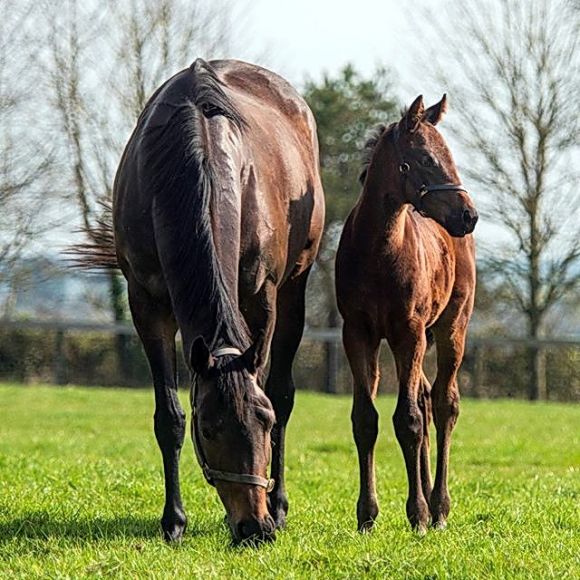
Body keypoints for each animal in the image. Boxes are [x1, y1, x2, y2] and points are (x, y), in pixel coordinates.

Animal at [81, 59, 324, 544]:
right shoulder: (146, 304)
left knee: (286, 390)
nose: (254, 528)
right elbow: (169, 416)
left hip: (295, 290)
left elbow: (271, 390)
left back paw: (279, 504)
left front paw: (270, 508)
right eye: (209, 429)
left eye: (263, 421)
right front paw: (173, 520)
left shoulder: (262, 298)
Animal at [334, 95, 478, 536]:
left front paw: (417, 513)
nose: (469, 215)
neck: (379, 253)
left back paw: (438, 507)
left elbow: (408, 420)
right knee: (428, 399)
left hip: (450, 328)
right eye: (426, 159)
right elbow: (366, 419)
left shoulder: (408, 332)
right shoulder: (358, 333)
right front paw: (367, 515)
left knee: (445, 404)